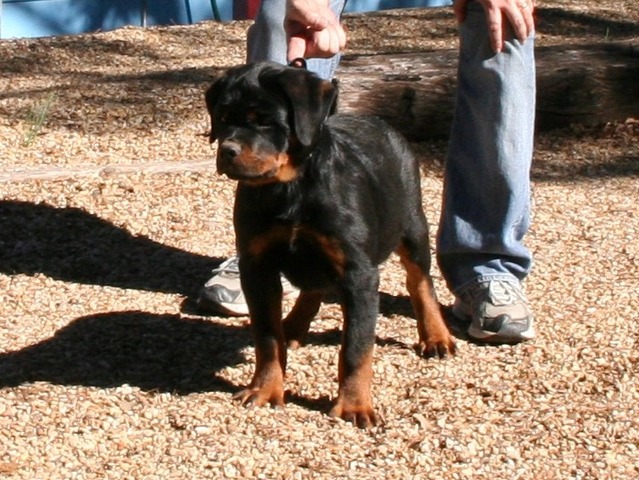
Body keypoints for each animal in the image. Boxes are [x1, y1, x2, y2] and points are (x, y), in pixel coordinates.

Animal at [205, 61, 456, 428]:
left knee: (420, 281)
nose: (227, 151)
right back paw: (293, 326)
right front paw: (265, 389)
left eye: (264, 120)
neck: (291, 190)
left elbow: (356, 347)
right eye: (222, 118)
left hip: (412, 225)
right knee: (314, 288)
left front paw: (354, 405)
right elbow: (266, 337)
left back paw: (437, 336)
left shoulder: (359, 274)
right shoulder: (257, 267)